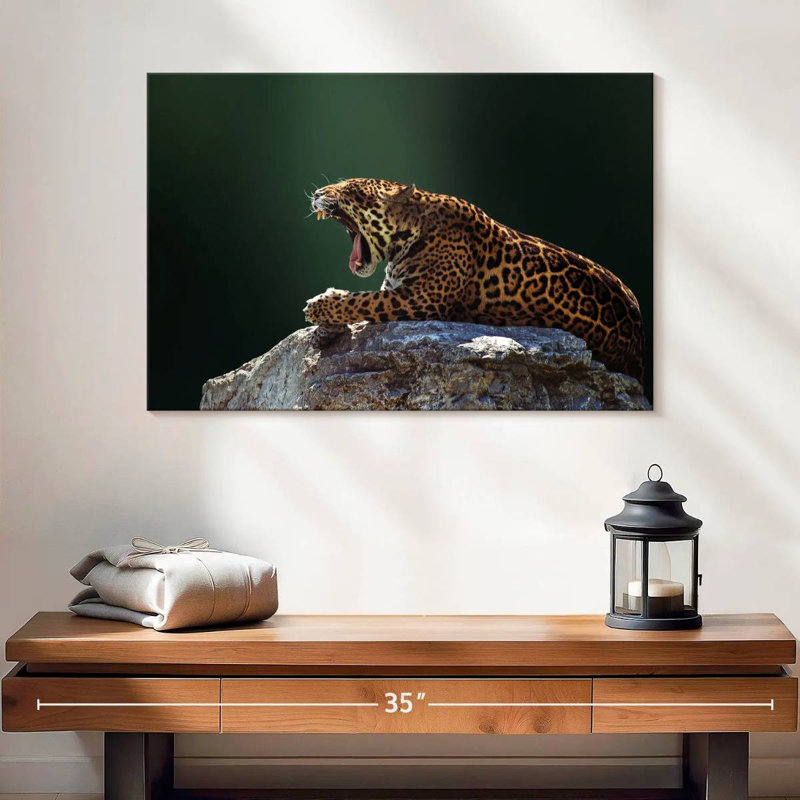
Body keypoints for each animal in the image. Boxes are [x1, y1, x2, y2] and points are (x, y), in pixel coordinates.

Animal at [305, 178, 645, 383]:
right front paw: (324, 326)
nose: (318, 193)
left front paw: (320, 306)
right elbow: (362, 301)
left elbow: (364, 301)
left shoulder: (419, 300)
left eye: (349, 190)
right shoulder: (397, 289)